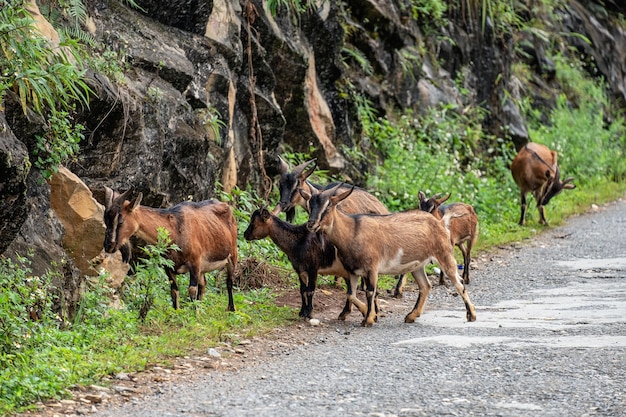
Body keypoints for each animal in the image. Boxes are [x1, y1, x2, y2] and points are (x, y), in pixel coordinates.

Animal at [103, 187, 238, 310]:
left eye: (120, 221)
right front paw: (176, 313)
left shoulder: (195, 263)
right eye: (105, 219)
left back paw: (231, 309)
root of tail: (226, 206)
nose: (109, 246)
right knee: (203, 284)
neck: (175, 229)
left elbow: (192, 290)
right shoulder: (169, 267)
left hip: (232, 255)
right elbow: (174, 291)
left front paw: (194, 317)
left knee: (229, 282)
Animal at [300, 184, 476, 326]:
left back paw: (471, 315)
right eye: (310, 204)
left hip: (444, 254)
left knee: (459, 282)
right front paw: (368, 313)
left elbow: (370, 292)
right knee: (425, 286)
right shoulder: (353, 271)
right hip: (417, 265)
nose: (311, 224)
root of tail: (439, 222)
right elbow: (351, 294)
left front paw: (368, 319)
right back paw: (411, 316)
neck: (352, 231)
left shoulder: (372, 268)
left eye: (328, 206)